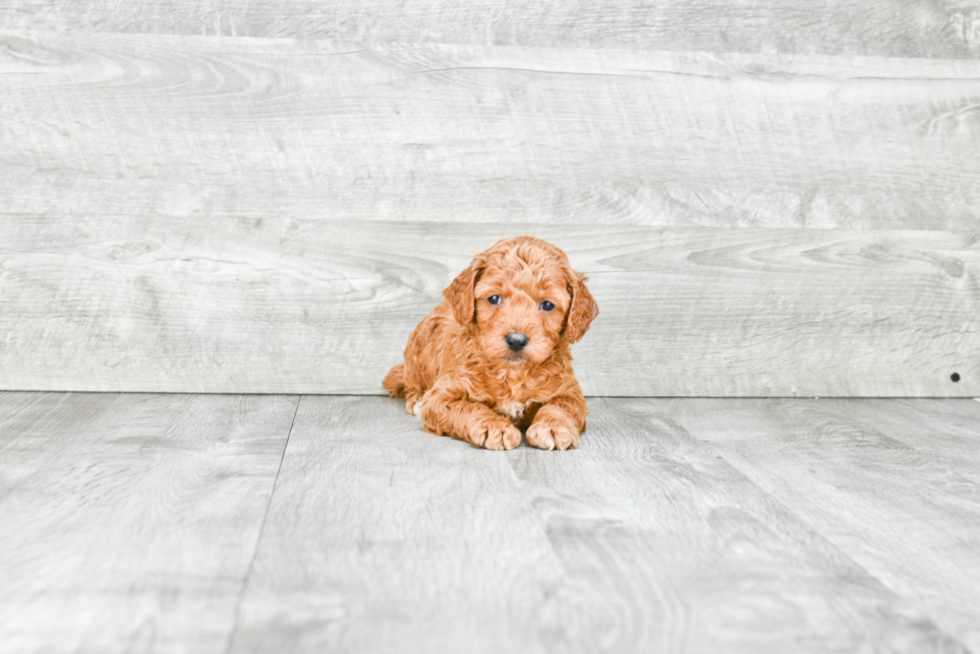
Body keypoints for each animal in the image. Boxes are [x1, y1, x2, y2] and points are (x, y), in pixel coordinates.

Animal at [382, 236, 596, 452]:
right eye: (494, 298)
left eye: (548, 305)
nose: (516, 340)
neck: (512, 373)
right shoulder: (441, 396)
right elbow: (469, 407)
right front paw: (495, 427)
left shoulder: (570, 391)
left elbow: (561, 406)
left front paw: (553, 426)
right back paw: (417, 401)